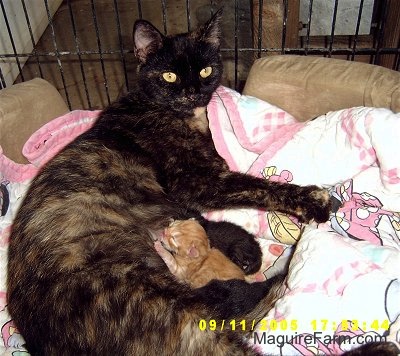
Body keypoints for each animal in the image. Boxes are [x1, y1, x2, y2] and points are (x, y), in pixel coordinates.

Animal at [7, 9, 332, 356]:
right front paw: (312, 200)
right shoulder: (197, 181)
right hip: (178, 315)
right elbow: (259, 187)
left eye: (205, 70)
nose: (192, 92)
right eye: (169, 76)